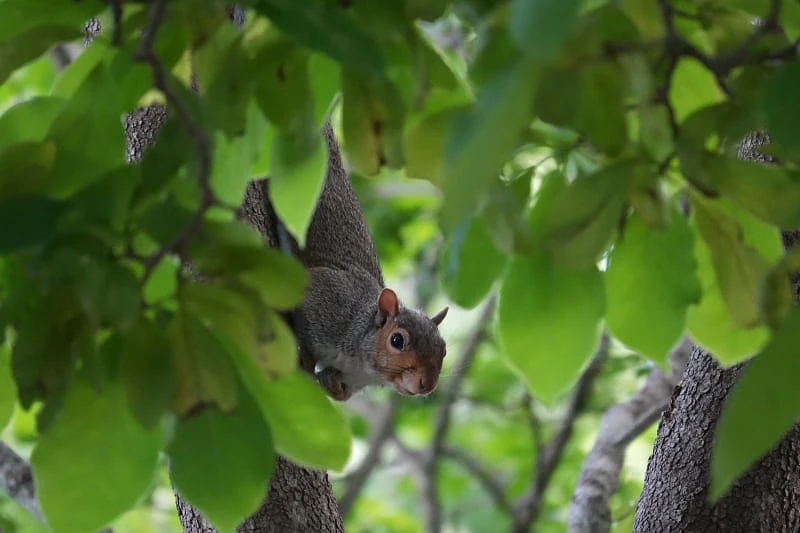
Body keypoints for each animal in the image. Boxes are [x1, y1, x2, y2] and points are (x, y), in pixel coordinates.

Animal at [278, 122, 448, 402]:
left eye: (443, 348)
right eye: (397, 340)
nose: (427, 385)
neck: (363, 366)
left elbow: (341, 393)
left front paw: (331, 385)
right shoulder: (326, 301)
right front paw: (308, 365)